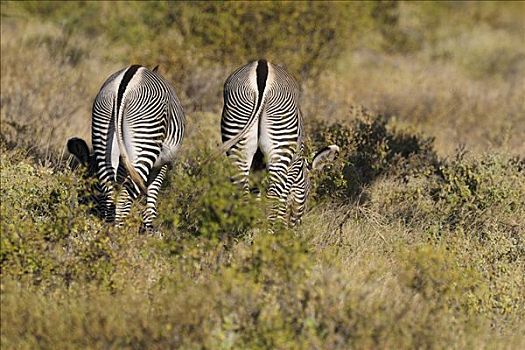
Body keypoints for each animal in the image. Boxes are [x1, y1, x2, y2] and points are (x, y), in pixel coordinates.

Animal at [66, 64, 184, 231]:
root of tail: (122, 89)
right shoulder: (162, 163)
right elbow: (151, 201)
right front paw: (150, 230)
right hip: (144, 141)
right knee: (123, 198)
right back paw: (119, 233)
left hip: (104, 133)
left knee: (109, 193)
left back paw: (109, 232)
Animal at [218, 58, 338, 226]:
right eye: (308, 190)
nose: (297, 224)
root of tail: (262, 68)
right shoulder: (292, 166)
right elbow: (282, 200)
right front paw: (279, 226)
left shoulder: (257, 166)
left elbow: (256, 196)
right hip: (280, 144)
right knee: (272, 197)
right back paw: (268, 233)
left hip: (237, 133)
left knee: (242, 192)